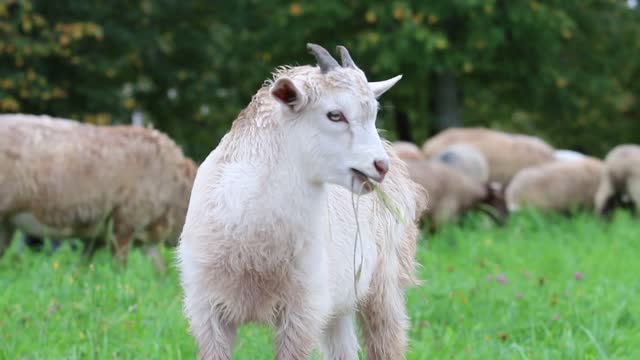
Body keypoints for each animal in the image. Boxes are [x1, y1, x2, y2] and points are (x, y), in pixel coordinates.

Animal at [176, 43, 424, 360]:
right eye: (335, 115)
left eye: (374, 113)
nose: (380, 166)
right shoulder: (206, 311)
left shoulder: (302, 310)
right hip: (340, 302)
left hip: (384, 284)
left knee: (386, 341)